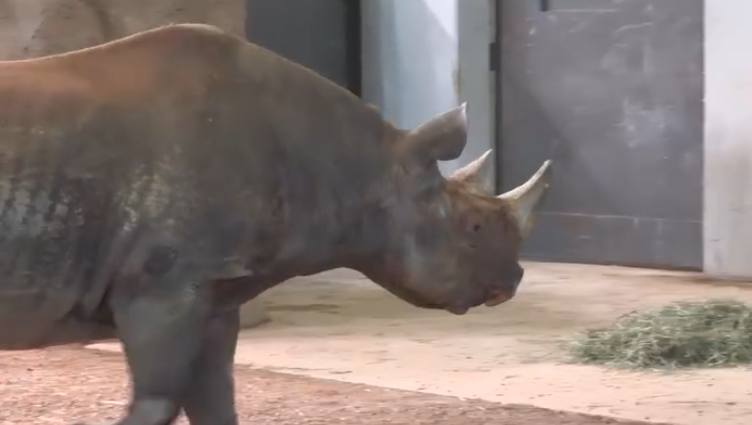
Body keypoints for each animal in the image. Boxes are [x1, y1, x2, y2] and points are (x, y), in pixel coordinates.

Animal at [0, 23, 552, 425]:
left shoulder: (215, 288)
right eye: (473, 229)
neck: (359, 165)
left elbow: (214, 400)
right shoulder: (162, 285)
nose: (515, 279)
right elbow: (159, 399)